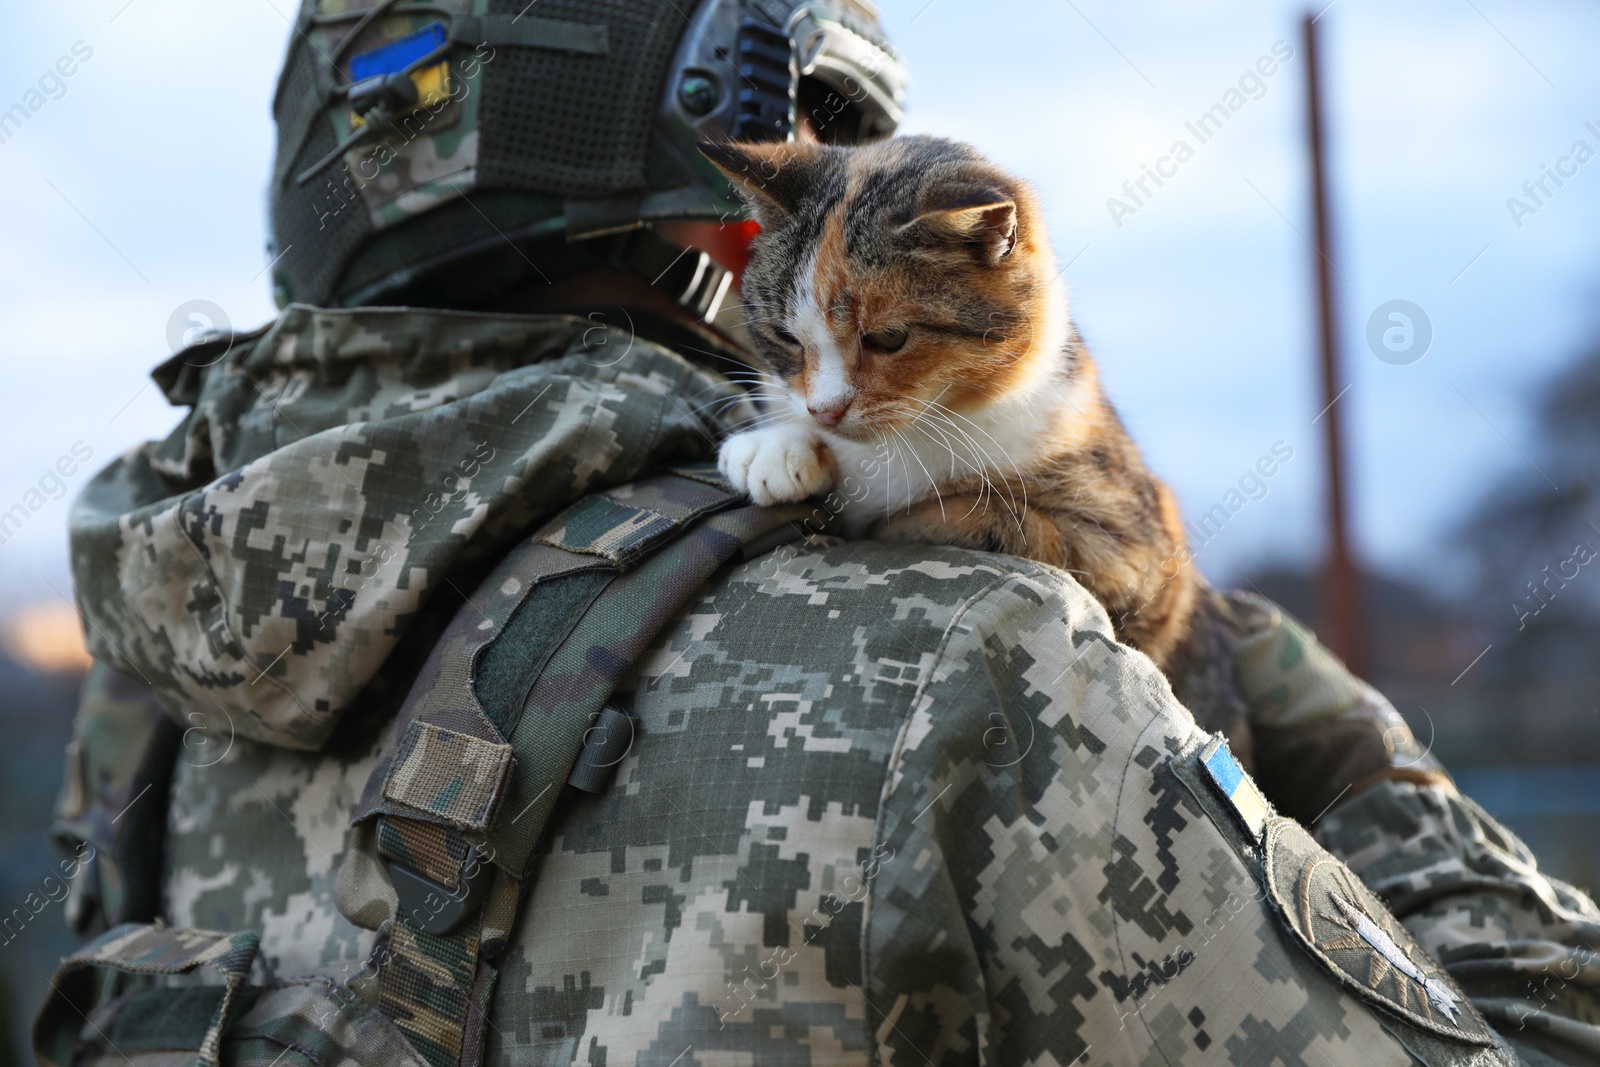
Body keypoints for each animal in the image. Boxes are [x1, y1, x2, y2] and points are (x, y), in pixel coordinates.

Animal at [700, 133, 1248, 751]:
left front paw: (906, 520)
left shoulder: (1139, 552)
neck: (920, 427)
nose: (826, 409)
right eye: (786, 338)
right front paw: (775, 446)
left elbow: (1017, 520)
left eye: (889, 338)